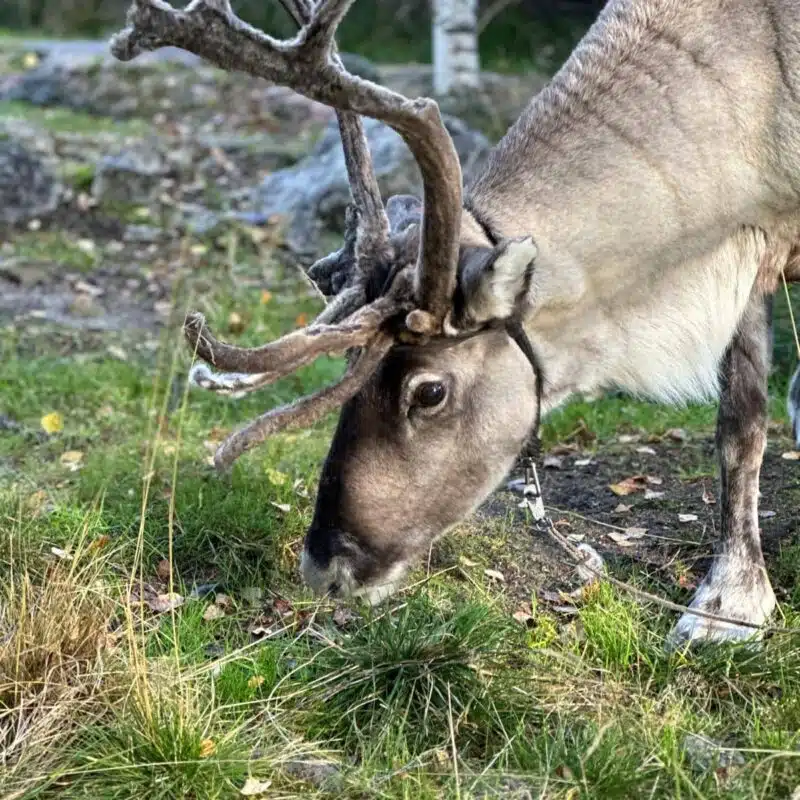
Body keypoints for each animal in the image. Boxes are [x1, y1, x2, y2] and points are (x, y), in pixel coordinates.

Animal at [111, 0, 800, 650]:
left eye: (430, 391)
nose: (324, 567)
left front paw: (728, 604)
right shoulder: (748, 258)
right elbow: (740, 423)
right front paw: (735, 599)